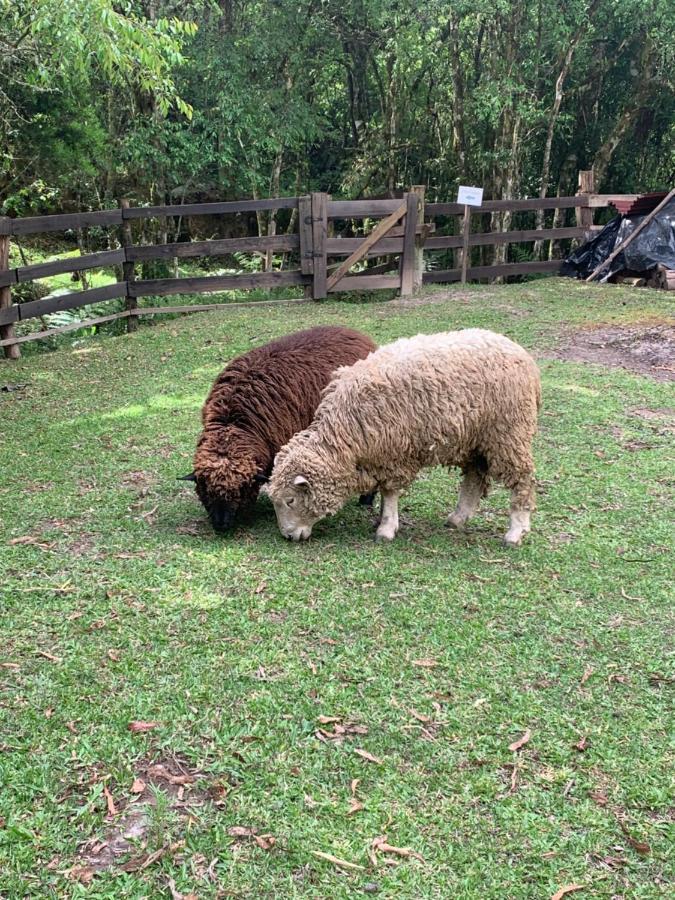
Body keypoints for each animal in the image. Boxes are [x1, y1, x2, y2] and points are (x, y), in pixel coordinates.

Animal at [180, 326, 378, 532]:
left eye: (241, 489)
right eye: (204, 489)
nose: (221, 525)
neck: (234, 422)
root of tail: (358, 334)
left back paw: (366, 500)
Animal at [266, 328, 540, 544]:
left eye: (290, 500)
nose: (288, 536)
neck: (346, 436)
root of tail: (522, 354)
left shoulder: (394, 453)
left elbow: (390, 492)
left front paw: (386, 528)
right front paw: (381, 521)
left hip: (509, 433)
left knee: (522, 479)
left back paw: (516, 531)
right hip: (476, 439)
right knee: (474, 477)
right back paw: (457, 518)